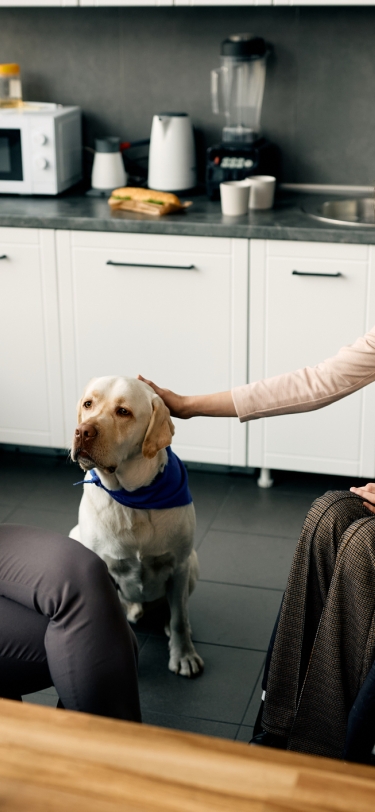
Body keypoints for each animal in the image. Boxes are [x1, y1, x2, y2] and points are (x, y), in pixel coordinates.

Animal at [70, 376, 206, 680]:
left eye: (124, 412)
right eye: (88, 404)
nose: (83, 432)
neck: (132, 498)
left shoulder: (179, 565)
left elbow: (179, 618)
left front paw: (184, 655)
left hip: (193, 563)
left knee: (176, 608)